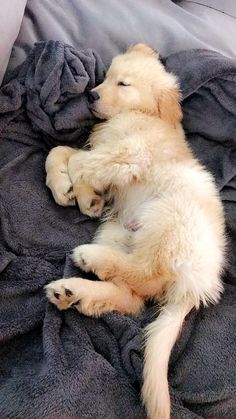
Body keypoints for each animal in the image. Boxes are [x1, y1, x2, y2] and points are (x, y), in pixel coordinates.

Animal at [44, 45, 225, 419]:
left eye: (123, 84)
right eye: (107, 76)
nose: (91, 95)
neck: (143, 115)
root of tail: (197, 285)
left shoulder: (128, 154)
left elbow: (79, 162)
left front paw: (84, 194)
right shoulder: (106, 151)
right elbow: (61, 152)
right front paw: (64, 187)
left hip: (165, 218)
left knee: (146, 274)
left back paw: (88, 260)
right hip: (117, 231)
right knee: (132, 298)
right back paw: (74, 292)